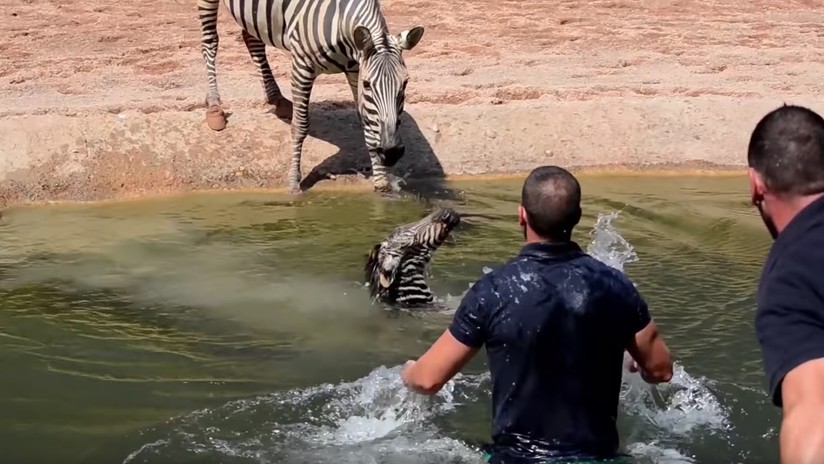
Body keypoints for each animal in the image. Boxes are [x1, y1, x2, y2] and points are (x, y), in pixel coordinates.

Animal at [196, 0, 422, 194]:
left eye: (405, 83)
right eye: (368, 84)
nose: (392, 153)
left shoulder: (355, 70)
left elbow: (367, 122)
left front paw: (381, 183)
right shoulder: (301, 66)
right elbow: (300, 126)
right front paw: (294, 184)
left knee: (251, 36)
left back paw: (277, 98)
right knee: (210, 41)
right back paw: (214, 107)